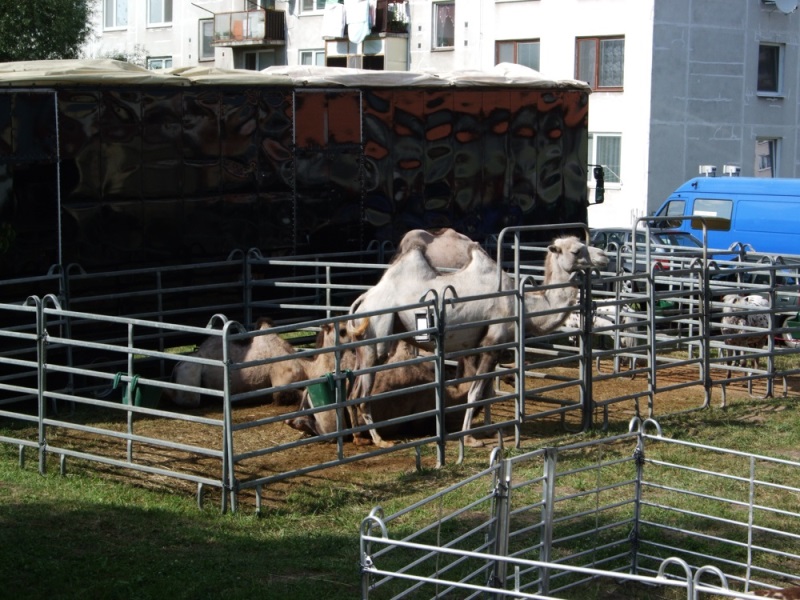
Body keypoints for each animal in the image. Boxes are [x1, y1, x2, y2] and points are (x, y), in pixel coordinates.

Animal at [344, 237, 608, 448]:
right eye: (576, 250)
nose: (604, 256)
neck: (523, 306)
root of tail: (363, 299)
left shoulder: (487, 347)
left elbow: (488, 391)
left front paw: (488, 430)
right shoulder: (492, 342)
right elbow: (475, 391)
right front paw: (469, 438)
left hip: (363, 343)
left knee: (352, 389)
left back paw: (358, 437)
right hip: (377, 333)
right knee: (363, 392)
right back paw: (380, 440)